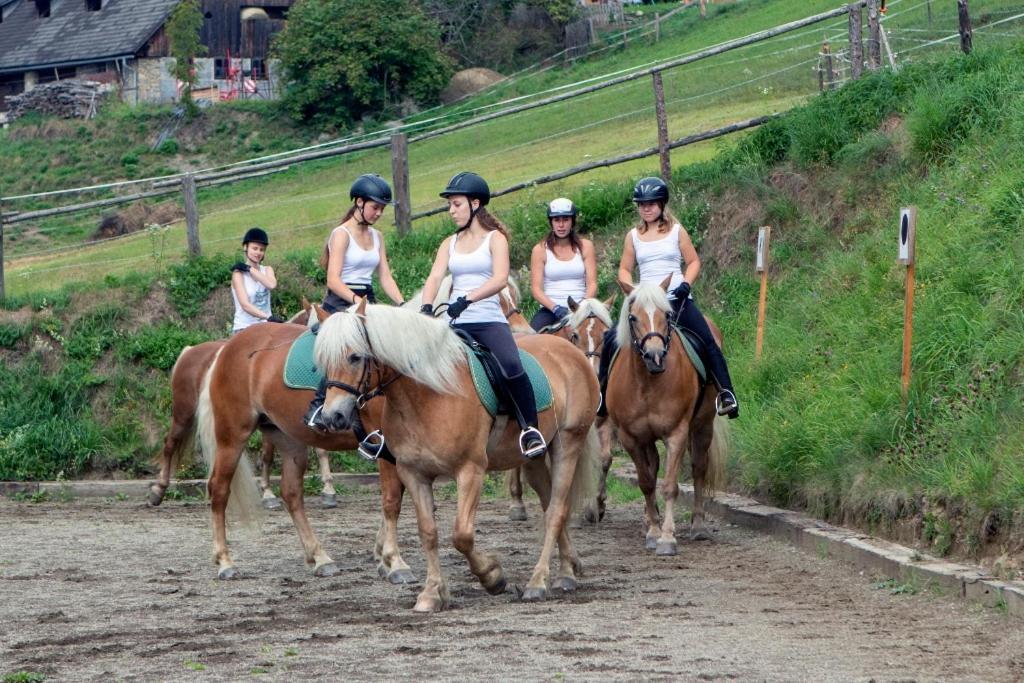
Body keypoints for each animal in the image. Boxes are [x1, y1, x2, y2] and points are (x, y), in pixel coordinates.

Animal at [311, 301, 598, 610]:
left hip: (568, 443)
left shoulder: (470, 470)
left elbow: (462, 535)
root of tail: (571, 352)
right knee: (550, 505)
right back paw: (567, 571)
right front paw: (432, 593)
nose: (333, 417)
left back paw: (538, 582)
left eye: (354, 357)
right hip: (532, 459)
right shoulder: (413, 473)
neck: (427, 394)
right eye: (322, 360)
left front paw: (492, 577)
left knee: (556, 511)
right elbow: (428, 533)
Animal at [606, 278, 729, 557]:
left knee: (698, 468)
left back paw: (698, 526)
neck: (647, 382)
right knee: (653, 468)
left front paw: (667, 538)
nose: (655, 356)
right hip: (647, 438)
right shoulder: (630, 438)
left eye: (667, 315)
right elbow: (646, 483)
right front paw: (653, 531)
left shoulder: (676, 433)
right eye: (633, 317)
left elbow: (670, 486)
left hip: (703, 425)